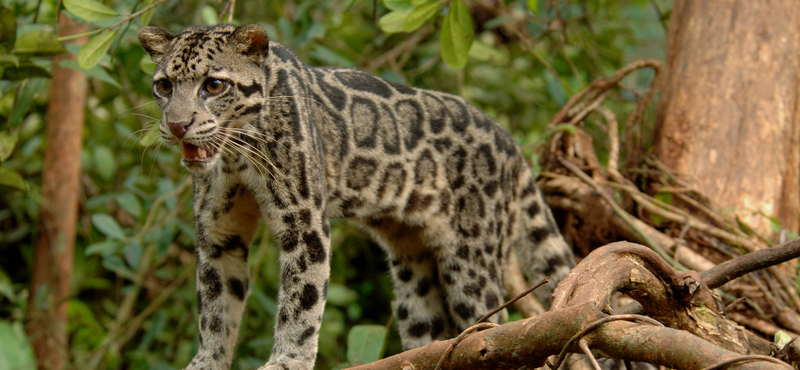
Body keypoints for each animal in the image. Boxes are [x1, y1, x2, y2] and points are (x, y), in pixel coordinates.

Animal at [138, 23, 576, 370]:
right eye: (164, 85)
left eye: (214, 85)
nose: (177, 125)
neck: (235, 157)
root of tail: (509, 141)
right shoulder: (218, 233)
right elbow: (215, 308)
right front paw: (207, 362)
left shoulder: (303, 222)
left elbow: (301, 300)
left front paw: (288, 361)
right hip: (415, 274)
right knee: (431, 330)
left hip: (472, 263)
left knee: (493, 329)